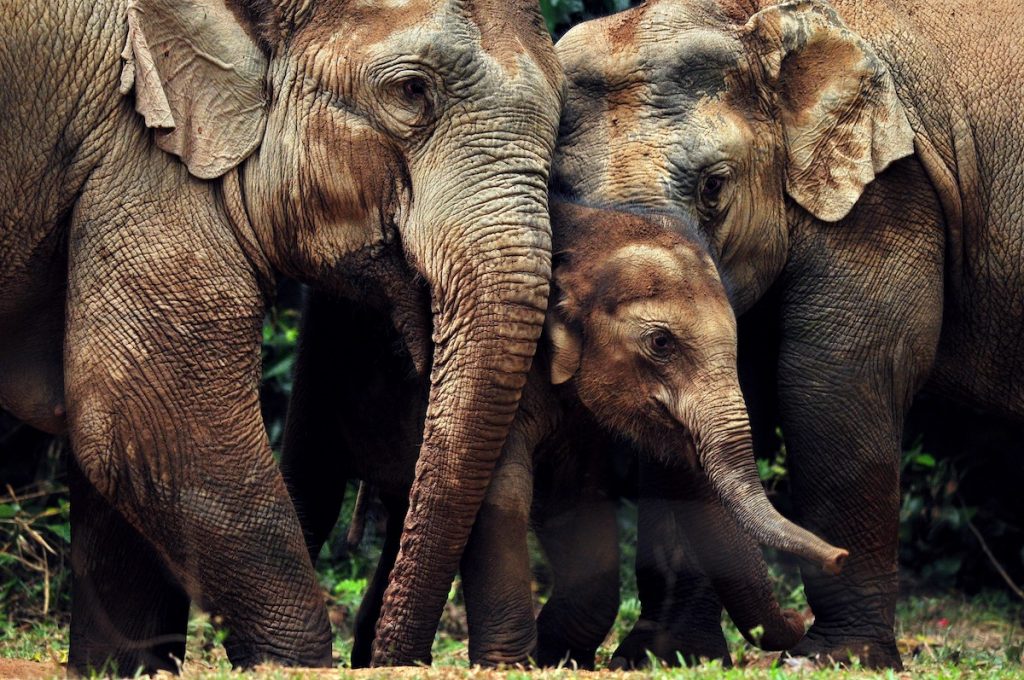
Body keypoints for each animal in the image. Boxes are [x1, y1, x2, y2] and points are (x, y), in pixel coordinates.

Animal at [276, 199, 843, 667]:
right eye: (661, 343)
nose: (839, 558)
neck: (587, 237)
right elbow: (503, 491)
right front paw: (510, 665)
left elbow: (576, 502)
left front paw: (557, 656)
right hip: (320, 353)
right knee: (314, 484)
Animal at [552, 0, 1024, 667]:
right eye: (557, 192)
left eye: (714, 186)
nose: (791, 631)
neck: (756, 20)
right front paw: (665, 657)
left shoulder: (889, 192)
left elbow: (832, 379)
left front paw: (838, 658)